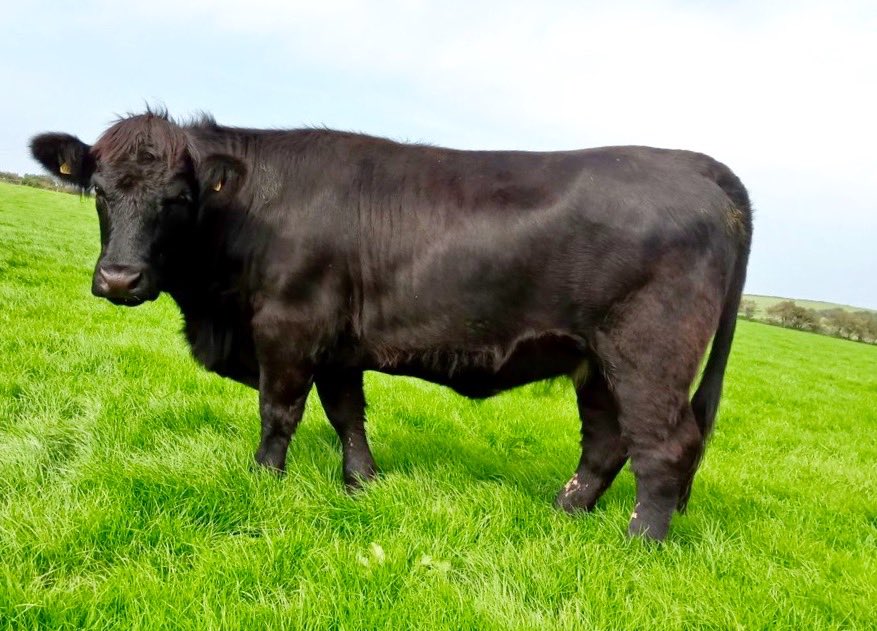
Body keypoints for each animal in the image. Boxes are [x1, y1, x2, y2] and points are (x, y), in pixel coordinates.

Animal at [30, 109, 752, 540]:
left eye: (178, 199)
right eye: (100, 192)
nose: (119, 279)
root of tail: (690, 162)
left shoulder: (289, 325)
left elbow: (280, 410)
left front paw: (264, 480)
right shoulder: (338, 343)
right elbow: (346, 413)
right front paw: (362, 482)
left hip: (647, 355)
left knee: (664, 446)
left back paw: (638, 541)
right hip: (594, 359)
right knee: (606, 442)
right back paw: (563, 512)